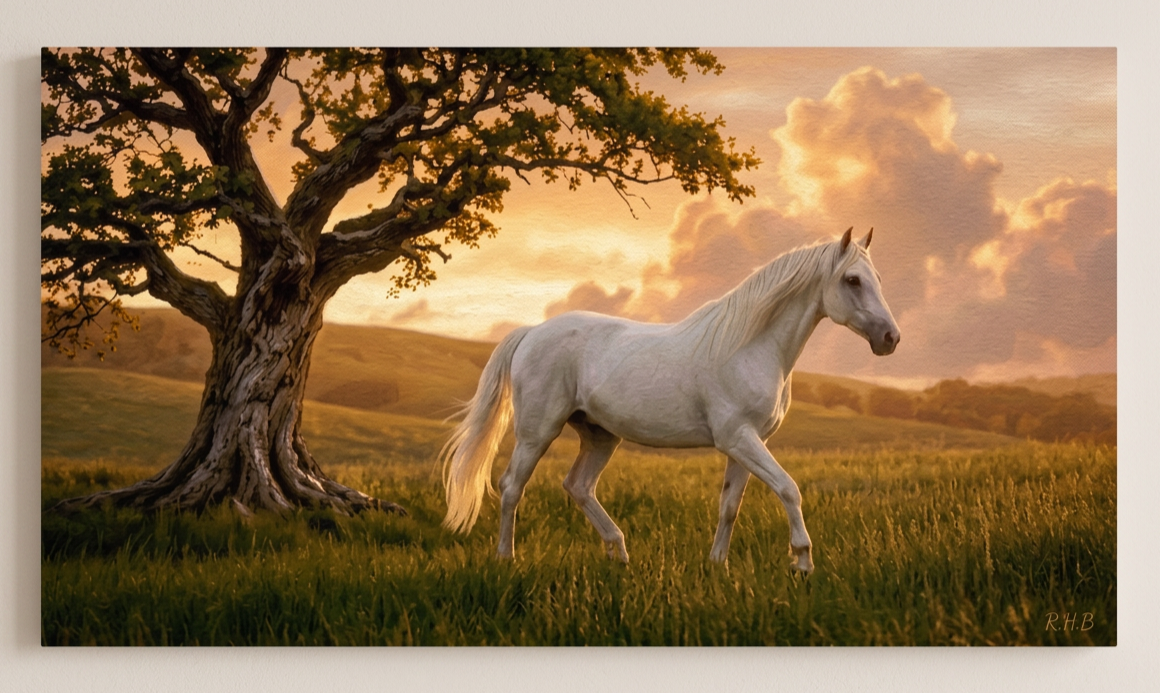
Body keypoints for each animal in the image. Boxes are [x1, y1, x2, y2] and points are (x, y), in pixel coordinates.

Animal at [440, 227, 899, 573]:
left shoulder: (747, 444)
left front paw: (717, 564)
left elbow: (729, 506)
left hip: (600, 435)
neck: (749, 346)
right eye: (852, 280)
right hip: (537, 433)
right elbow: (789, 488)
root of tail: (532, 332)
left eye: (877, 278)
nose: (890, 339)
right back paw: (507, 558)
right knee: (511, 487)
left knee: (578, 486)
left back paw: (619, 553)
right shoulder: (739, 438)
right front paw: (802, 562)